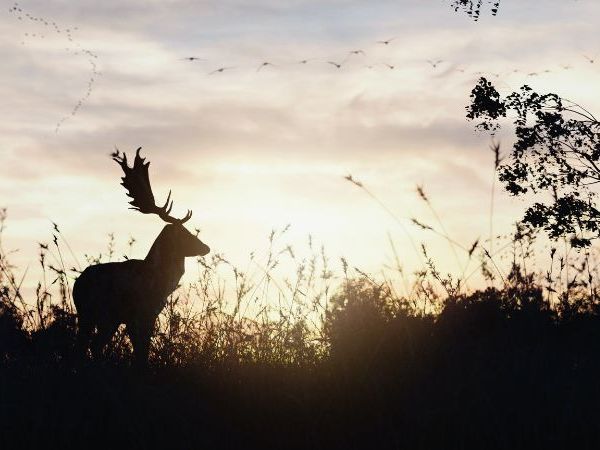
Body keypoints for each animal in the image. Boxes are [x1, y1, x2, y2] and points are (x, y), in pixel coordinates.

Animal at [73, 149, 211, 366]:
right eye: (184, 233)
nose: (206, 247)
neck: (160, 282)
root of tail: (77, 284)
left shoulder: (147, 313)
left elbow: (141, 349)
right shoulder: (139, 312)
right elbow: (141, 350)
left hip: (99, 317)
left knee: (90, 345)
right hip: (95, 312)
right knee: (87, 345)